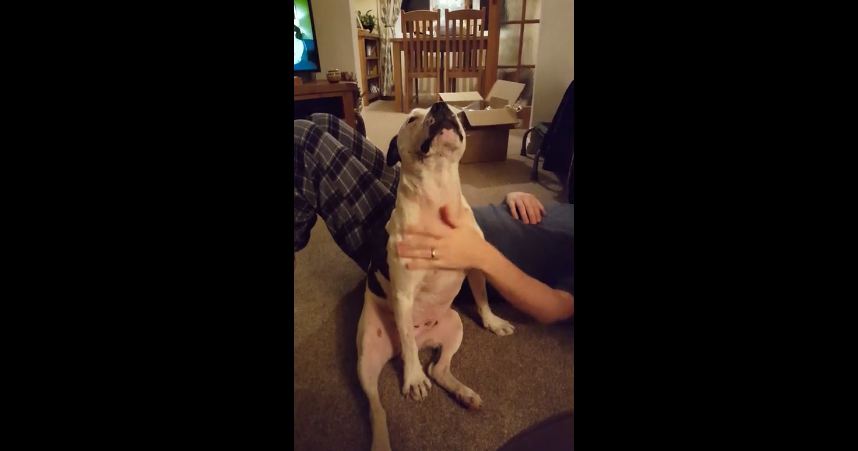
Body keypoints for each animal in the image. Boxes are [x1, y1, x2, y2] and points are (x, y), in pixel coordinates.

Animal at [356, 102, 516, 451]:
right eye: (410, 119)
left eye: (456, 110)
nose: (442, 107)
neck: (437, 192)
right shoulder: (404, 293)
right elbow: (405, 334)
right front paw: (413, 380)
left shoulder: (476, 265)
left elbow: (483, 300)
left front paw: (493, 321)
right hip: (366, 359)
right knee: (377, 407)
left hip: (454, 326)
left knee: (437, 367)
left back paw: (464, 394)